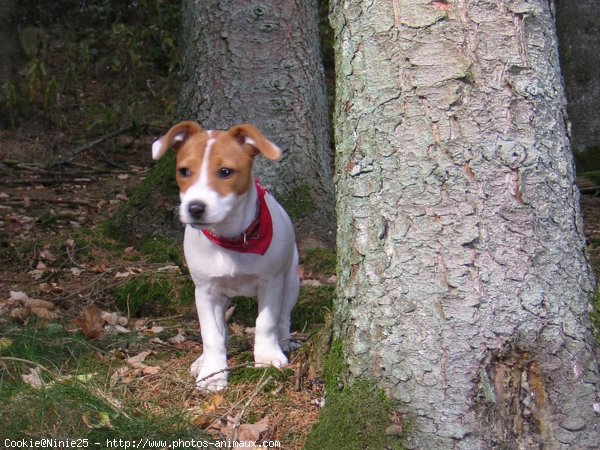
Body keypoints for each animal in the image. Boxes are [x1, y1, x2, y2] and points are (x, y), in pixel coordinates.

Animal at [151, 122, 298, 390]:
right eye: (184, 171)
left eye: (226, 172)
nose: (195, 208)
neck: (231, 240)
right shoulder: (205, 292)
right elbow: (212, 335)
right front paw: (213, 373)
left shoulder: (271, 282)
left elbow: (266, 322)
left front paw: (267, 356)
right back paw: (203, 360)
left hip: (291, 280)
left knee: (283, 317)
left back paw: (283, 342)